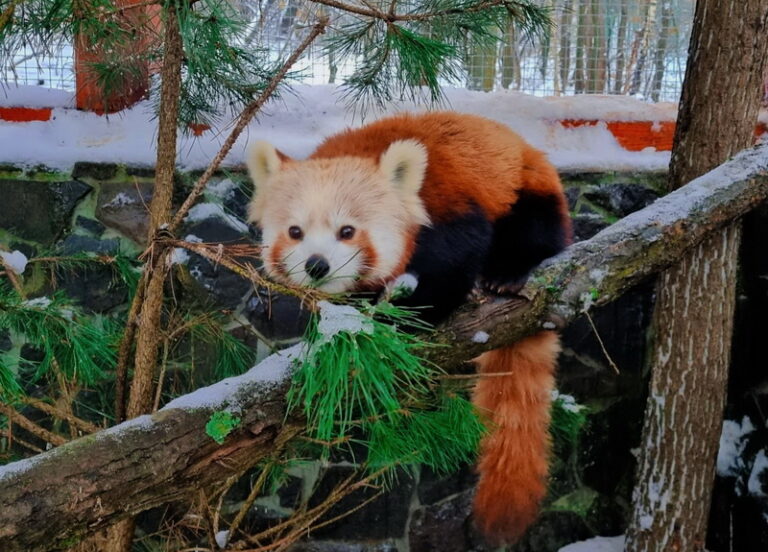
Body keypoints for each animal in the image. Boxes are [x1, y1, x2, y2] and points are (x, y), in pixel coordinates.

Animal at [246, 111, 568, 544]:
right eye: (295, 232)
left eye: (347, 231)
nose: (317, 265)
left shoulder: (449, 203)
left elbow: (455, 262)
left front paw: (408, 316)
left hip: (529, 190)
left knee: (533, 232)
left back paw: (507, 275)